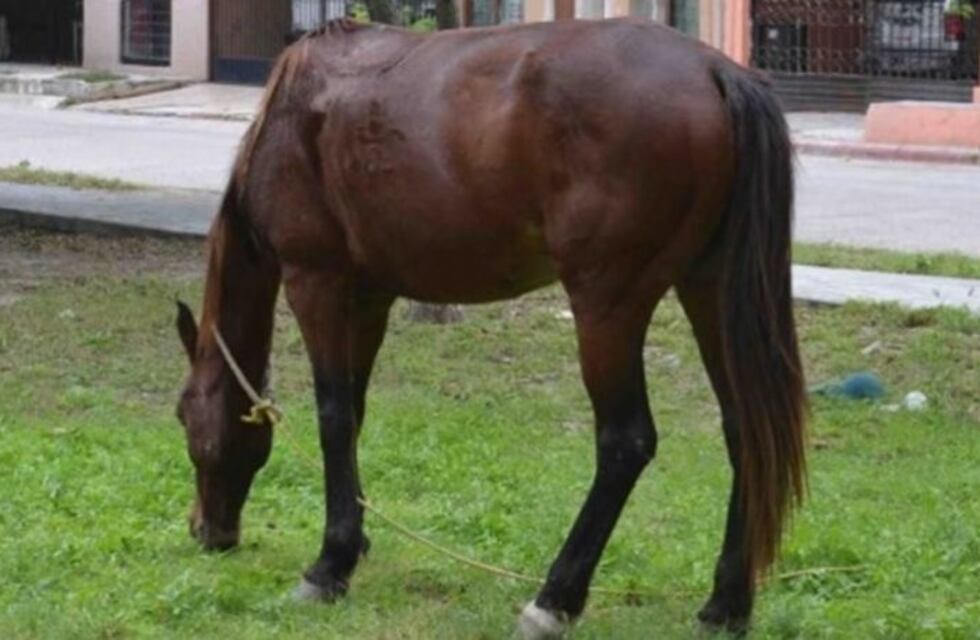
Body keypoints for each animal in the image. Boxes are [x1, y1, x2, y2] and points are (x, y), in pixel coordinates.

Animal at [175, 18, 806, 638]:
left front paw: (329, 566)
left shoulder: (316, 281)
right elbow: (355, 412)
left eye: (184, 415)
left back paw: (553, 600)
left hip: (608, 304)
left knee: (626, 442)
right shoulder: (369, 298)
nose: (206, 531)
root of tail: (715, 71)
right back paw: (725, 605)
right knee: (743, 430)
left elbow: (333, 417)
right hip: (708, 289)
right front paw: (355, 538)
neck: (293, 114)